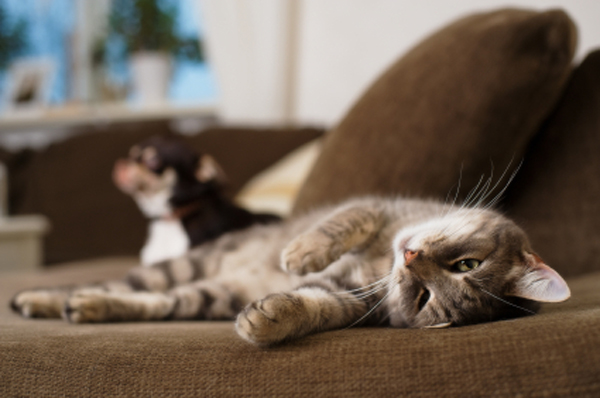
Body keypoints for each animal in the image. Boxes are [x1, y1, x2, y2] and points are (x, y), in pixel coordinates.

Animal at [11, 195, 568, 346]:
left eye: (424, 299)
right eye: (466, 263)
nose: (410, 261)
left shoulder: (349, 296)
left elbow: (312, 305)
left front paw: (268, 318)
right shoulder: (377, 209)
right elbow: (341, 224)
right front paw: (300, 252)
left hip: (203, 296)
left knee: (147, 300)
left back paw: (81, 307)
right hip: (187, 263)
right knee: (113, 282)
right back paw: (37, 299)